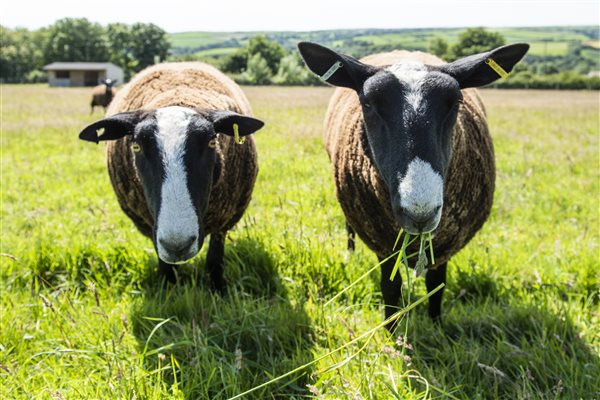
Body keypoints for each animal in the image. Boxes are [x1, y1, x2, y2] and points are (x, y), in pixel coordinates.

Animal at [77, 61, 262, 288]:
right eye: (136, 146)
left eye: (212, 142)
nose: (177, 245)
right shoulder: (150, 224)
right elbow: (164, 262)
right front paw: (168, 286)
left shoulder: (224, 217)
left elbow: (214, 258)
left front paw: (218, 287)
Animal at [298, 40, 528, 330]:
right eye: (368, 103)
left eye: (456, 102)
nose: (420, 213)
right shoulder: (384, 243)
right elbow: (391, 287)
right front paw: (390, 332)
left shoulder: (444, 242)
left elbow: (436, 285)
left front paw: (437, 326)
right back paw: (350, 254)